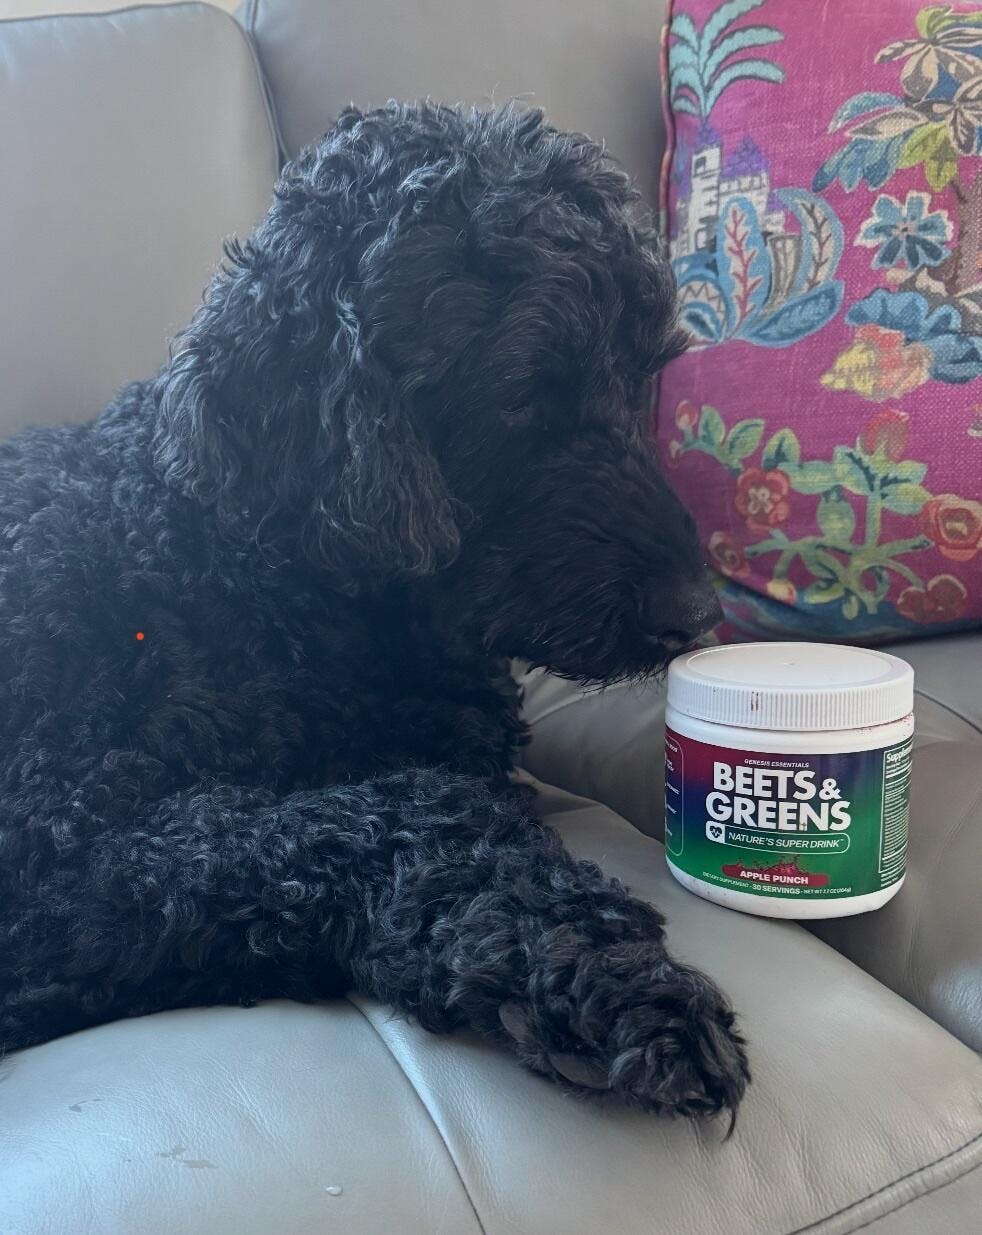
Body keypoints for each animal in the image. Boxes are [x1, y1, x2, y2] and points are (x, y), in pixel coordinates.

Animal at [0, 102, 748, 1120]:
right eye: (523, 392)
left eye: (644, 378)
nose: (698, 613)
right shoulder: (57, 849)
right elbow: (390, 814)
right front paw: (605, 974)